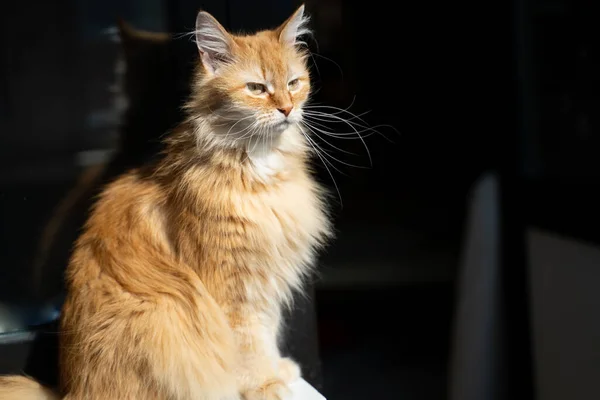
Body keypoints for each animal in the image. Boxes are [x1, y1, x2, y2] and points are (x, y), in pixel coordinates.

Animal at [0, 6, 330, 400]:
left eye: (294, 83)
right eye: (256, 88)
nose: (287, 109)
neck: (259, 171)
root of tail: (68, 391)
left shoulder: (265, 281)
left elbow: (264, 335)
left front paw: (278, 370)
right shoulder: (233, 287)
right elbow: (247, 346)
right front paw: (266, 386)